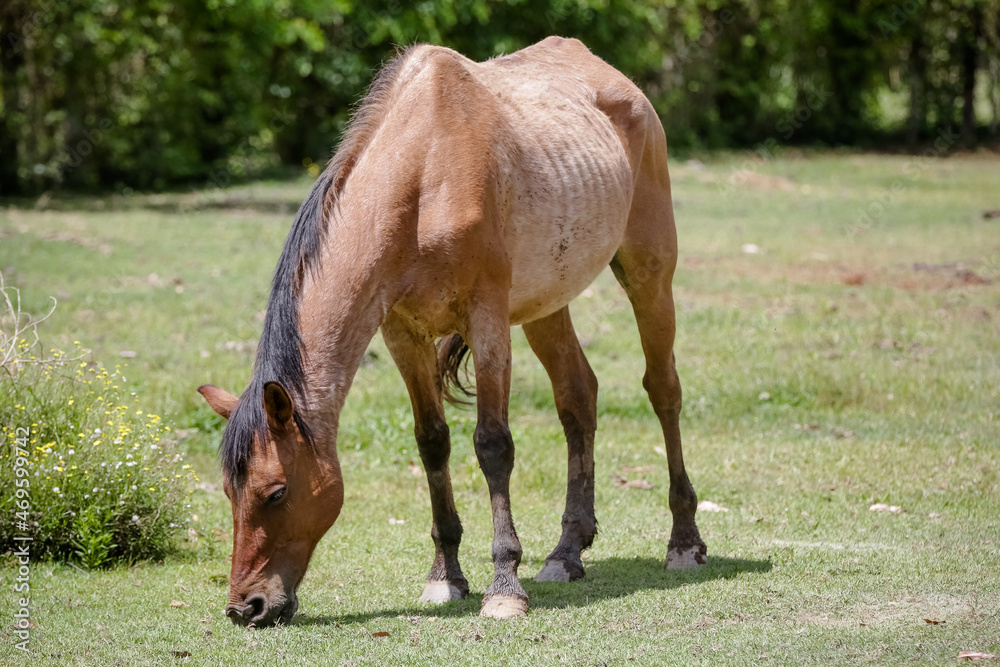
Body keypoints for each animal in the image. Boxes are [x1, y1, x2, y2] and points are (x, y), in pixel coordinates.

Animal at [198, 36, 706, 627]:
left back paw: (684, 542)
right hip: (544, 306)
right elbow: (432, 443)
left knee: (663, 389)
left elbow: (493, 445)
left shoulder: (486, 319)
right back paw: (566, 553)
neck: (423, 174)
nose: (246, 606)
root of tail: (617, 82)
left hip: (649, 273)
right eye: (230, 492)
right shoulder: (402, 334)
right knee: (578, 397)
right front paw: (445, 577)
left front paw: (504, 584)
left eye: (276, 493)